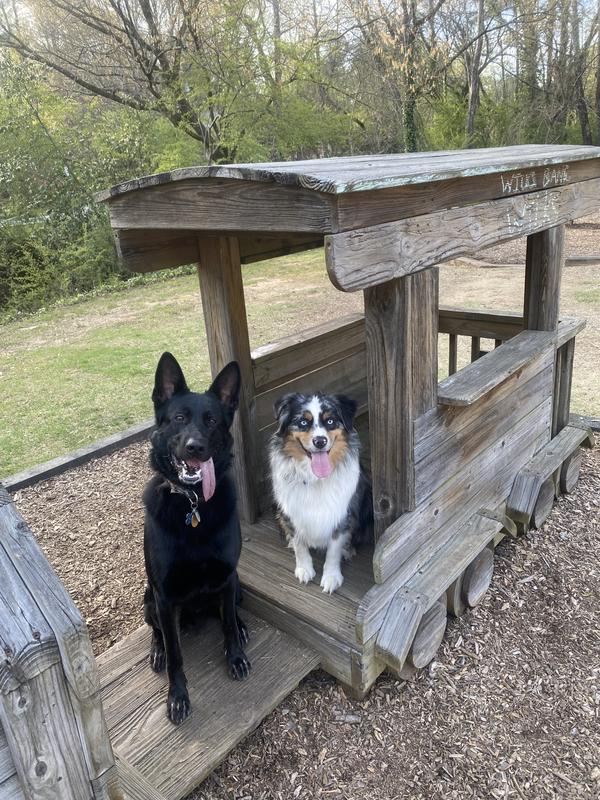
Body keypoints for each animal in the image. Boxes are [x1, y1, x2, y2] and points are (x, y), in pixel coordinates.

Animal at [144, 352, 251, 724]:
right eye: (179, 418)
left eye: (212, 421)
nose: (196, 447)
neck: (193, 504)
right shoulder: (164, 596)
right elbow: (176, 655)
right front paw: (177, 696)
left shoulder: (227, 576)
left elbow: (229, 625)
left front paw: (235, 656)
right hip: (149, 601)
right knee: (159, 633)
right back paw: (157, 650)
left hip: (238, 585)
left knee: (228, 613)